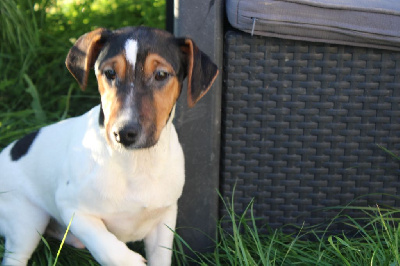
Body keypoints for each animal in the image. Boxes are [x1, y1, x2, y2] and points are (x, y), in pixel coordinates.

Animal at [0, 25, 219, 266]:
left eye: (161, 75)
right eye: (110, 74)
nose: (123, 133)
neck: (135, 163)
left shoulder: (165, 218)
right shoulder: (72, 209)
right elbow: (107, 247)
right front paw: (132, 262)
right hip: (26, 220)